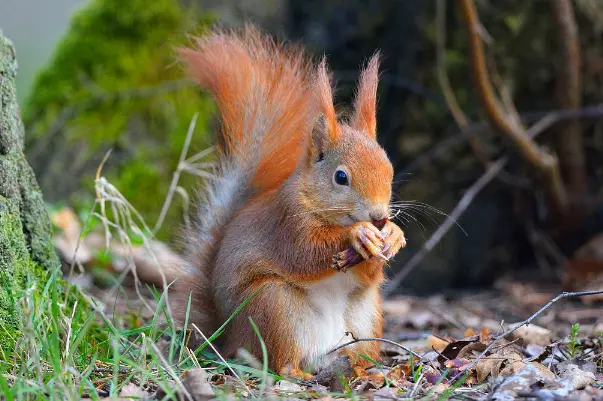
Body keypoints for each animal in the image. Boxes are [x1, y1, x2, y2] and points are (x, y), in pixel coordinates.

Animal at [168, 26, 408, 372]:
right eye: (341, 177)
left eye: (389, 169)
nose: (379, 217)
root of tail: (228, 338)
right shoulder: (286, 222)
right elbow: (305, 253)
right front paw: (357, 234)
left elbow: (370, 272)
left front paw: (393, 235)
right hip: (274, 307)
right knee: (280, 362)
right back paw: (296, 372)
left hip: (366, 313)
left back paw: (365, 369)